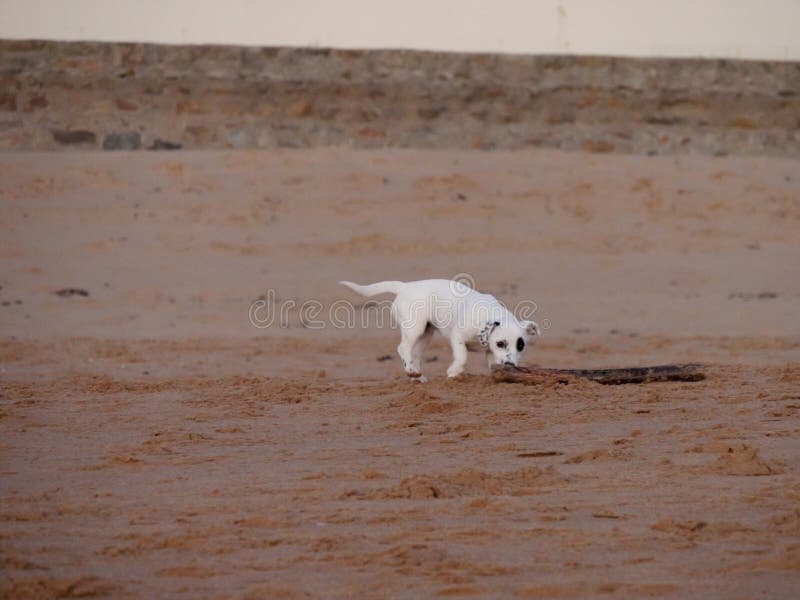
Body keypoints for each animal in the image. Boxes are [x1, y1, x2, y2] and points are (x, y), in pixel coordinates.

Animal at [338, 278, 536, 382]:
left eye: (520, 346)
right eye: (501, 343)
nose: (510, 365)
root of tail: (404, 286)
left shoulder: (489, 351)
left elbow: (491, 363)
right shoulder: (457, 337)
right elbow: (462, 356)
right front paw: (454, 372)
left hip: (426, 334)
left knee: (414, 355)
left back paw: (417, 376)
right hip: (414, 328)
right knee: (403, 349)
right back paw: (411, 372)